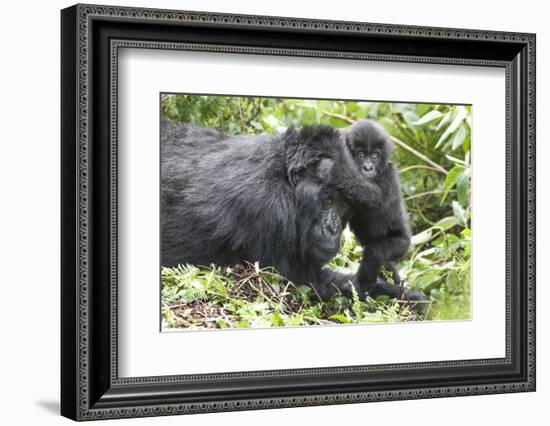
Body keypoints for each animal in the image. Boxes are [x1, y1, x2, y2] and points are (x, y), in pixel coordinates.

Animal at [344, 118, 426, 302]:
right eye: (361, 155)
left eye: (374, 156)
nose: (368, 168)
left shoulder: (388, 175)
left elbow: (374, 198)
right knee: (386, 263)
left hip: (401, 244)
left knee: (376, 252)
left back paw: (363, 287)